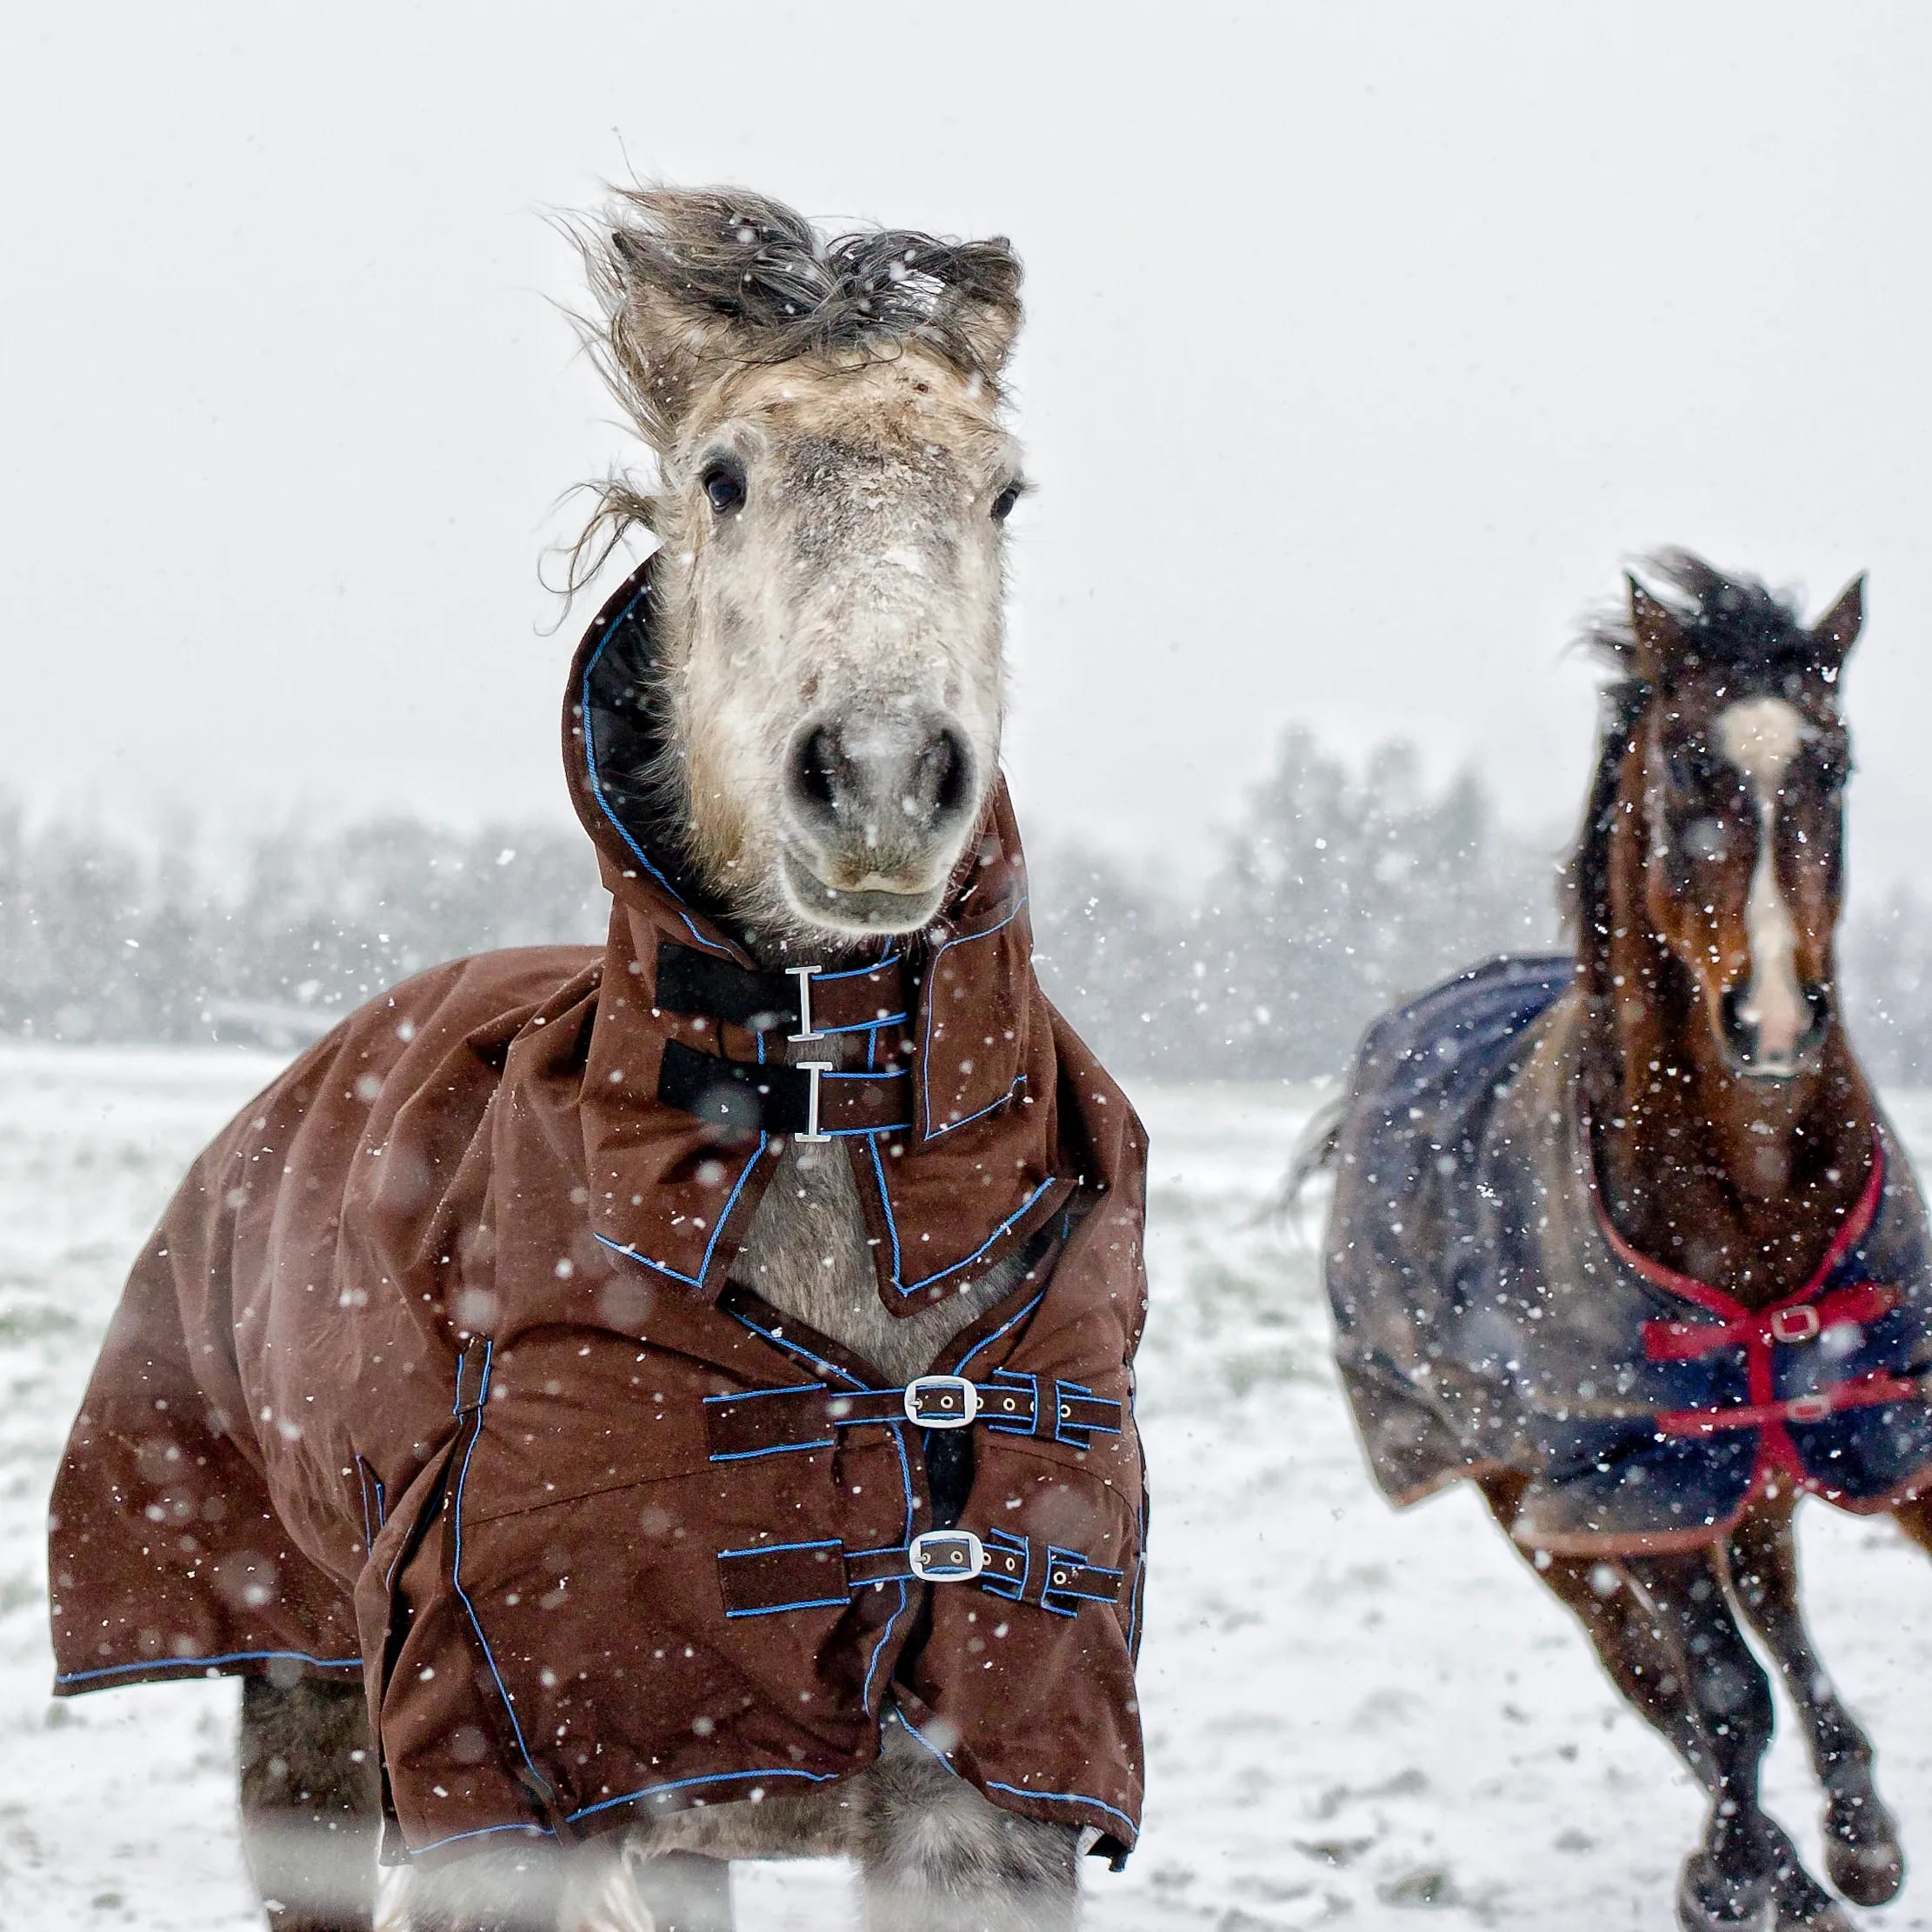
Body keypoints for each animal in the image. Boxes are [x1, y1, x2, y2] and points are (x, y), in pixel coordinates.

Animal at [47, 188, 1150, 1932]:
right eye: (724, 475)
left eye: (1002, 490)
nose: (883, 780)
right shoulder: (504, 1778)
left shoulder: (989, 1790)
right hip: (303, 1714)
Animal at [1311, 553, 1932, 1931]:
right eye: (1687, 771)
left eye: (1834, 763)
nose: (1772, 1022)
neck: (1753, 1191)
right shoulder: (1628, 1476)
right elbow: (1719, 1693)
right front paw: (1745, 1876)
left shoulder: (1887, 1414)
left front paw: (1836, 1845)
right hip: (1543, 1502)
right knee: (1663, 1680)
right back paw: (1767, 1871)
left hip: (1739, 1468)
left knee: (1772, 1608)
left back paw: (1854, 1829)